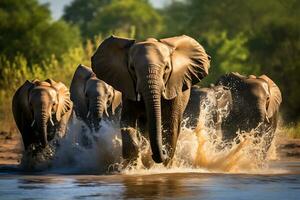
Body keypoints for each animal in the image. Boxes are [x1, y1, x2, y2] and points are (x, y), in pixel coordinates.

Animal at [91, 35, 211, 165]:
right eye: (132, 68)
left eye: (167, 68)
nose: (160, 153)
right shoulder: (128, 87)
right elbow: (127, 120)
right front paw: (133, 163)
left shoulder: (174, 90)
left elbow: (171, 125)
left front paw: (164, 163)